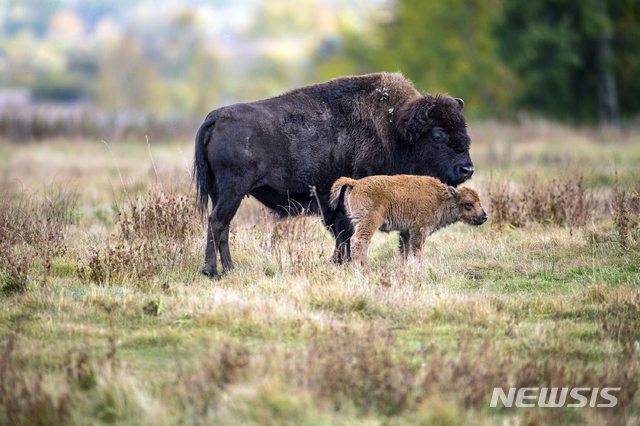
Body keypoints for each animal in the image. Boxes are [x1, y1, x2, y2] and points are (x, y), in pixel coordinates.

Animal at [192, 72, 472, 280]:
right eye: (438, 135)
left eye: (463, 129)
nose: (467, 169)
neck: (395, 129)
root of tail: (215, 117)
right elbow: (345, 232)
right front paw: (344, 263)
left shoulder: (334, 205)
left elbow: (341, 234)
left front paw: (340, 262)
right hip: (233, 190)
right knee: (217, 222)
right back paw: (212, 271)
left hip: (221, 191)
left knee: (223, 225)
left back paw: (229, 269)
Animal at [332, 175, 488, 268]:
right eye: (468, 204)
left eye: (479, 201)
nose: (484, 217)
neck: (441, 198)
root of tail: (356, 183)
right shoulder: (419, 231)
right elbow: (418, 252)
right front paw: (420, 271)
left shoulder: (405, 232)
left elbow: (404, 253)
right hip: (369, 223)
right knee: (357, 242)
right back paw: (358, 273)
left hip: (361, 224)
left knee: (364, 246)